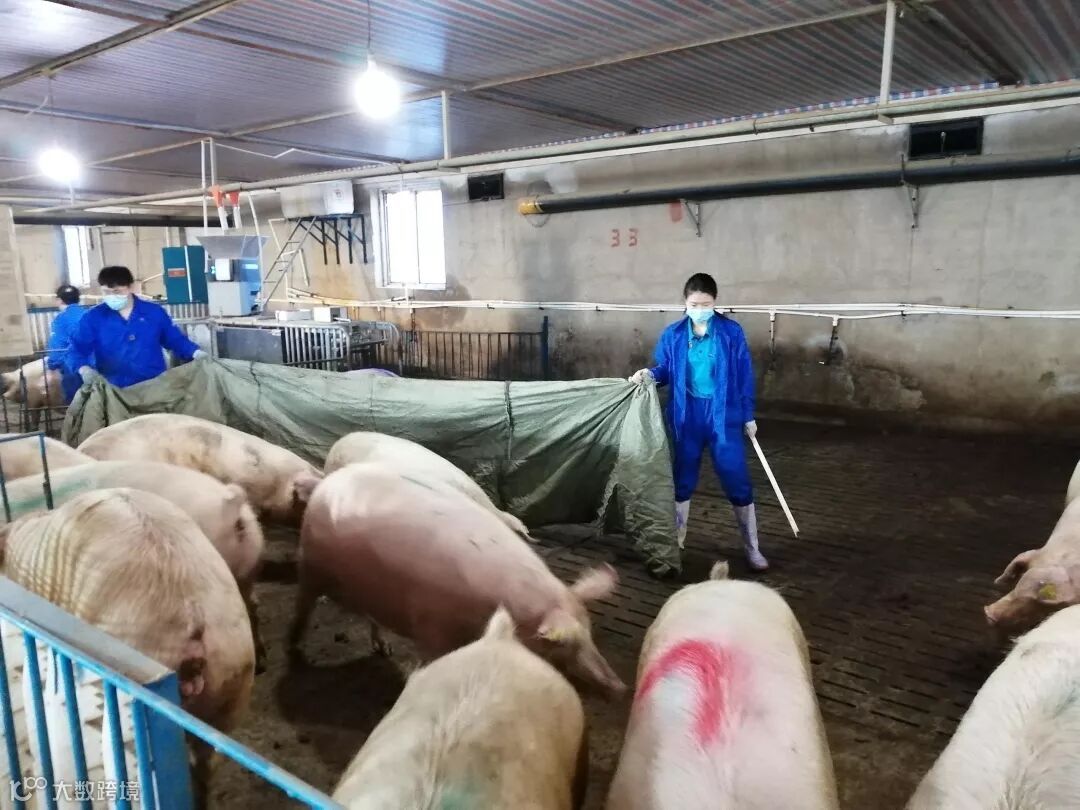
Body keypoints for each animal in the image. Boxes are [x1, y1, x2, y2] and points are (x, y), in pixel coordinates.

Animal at [289, 463, 624, 694]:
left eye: (591, 632)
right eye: (563, 646)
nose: (619, 686)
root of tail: (328, 481)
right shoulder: (431, 625)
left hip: (369, 589)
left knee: (372, 618)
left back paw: (384, 649)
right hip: (309, 564)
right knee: (303, 607)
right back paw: (296, 654)